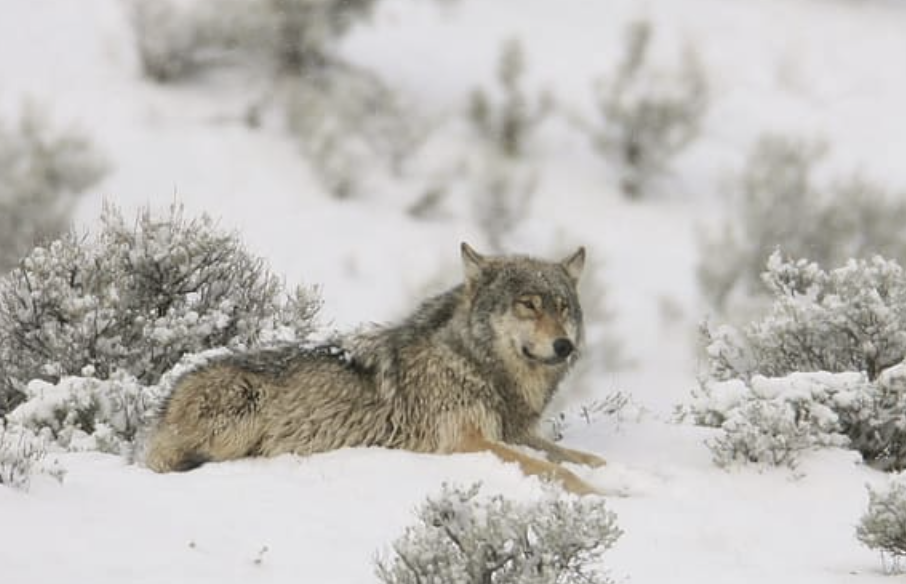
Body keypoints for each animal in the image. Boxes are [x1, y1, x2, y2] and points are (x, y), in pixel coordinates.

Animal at [143, 243, 605, 494]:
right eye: (529, 304)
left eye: (562, 307)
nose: (564, 346)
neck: (475, 364)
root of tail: (166, 402)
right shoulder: (465, 440)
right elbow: (559, 470)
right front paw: (602, 494)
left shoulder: (516, 433)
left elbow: (583, 458)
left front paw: (614, 476)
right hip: (244, 406)